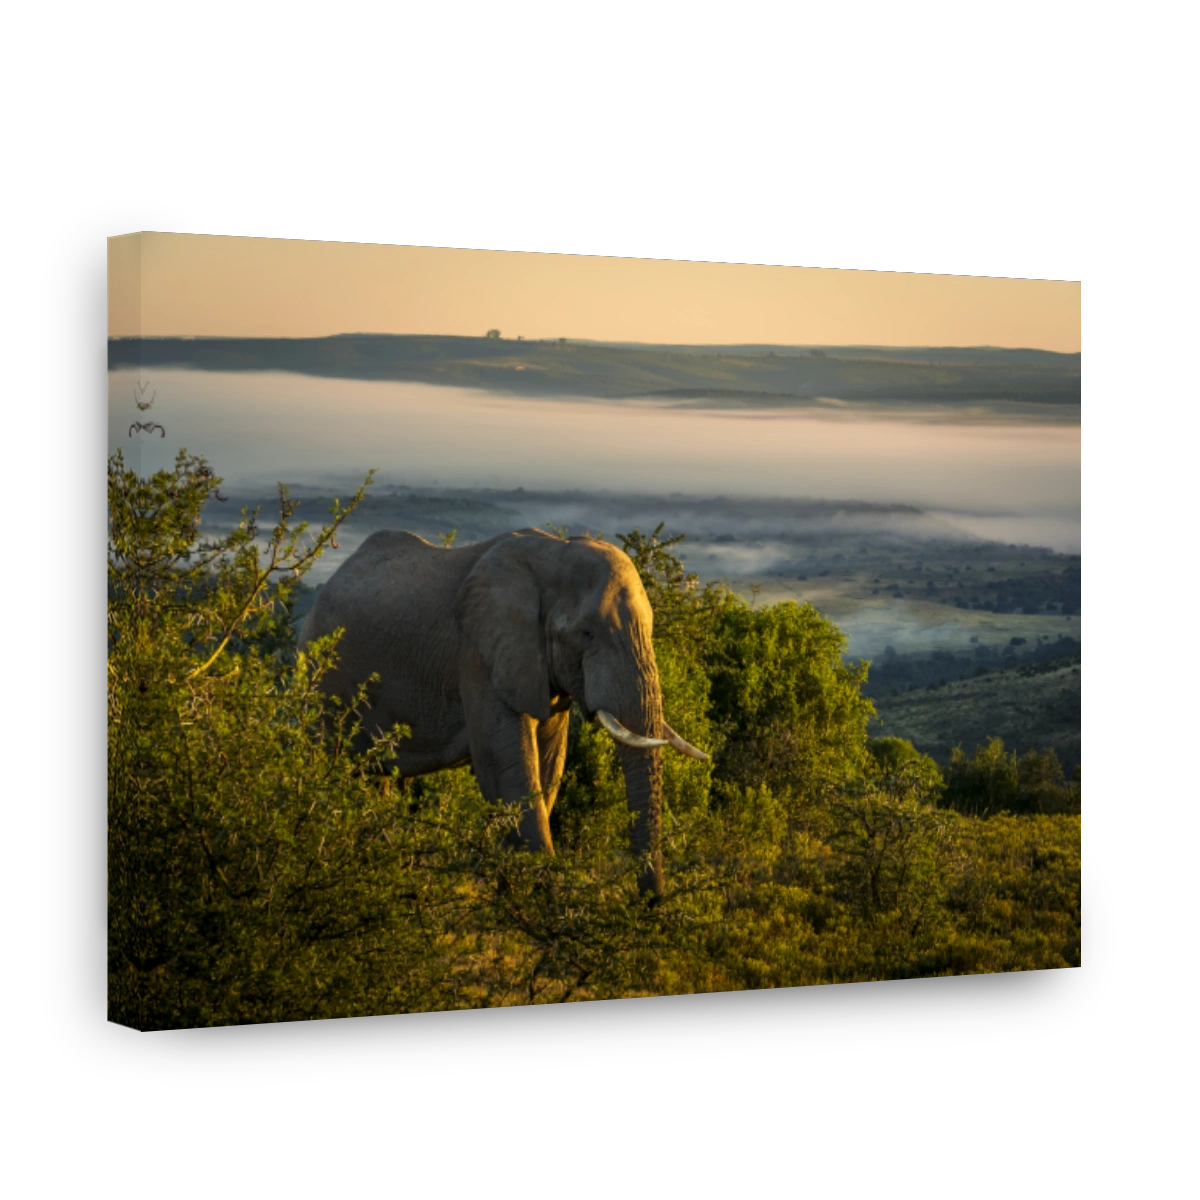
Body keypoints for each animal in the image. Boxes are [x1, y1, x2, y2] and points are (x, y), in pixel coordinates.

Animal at [296, 526, 708, 899]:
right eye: (587, 634)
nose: (648, 905)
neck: (554, 552)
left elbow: (548, 767)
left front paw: (512, 896)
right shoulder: (479, 658)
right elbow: (509, 769)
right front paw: (544, 910)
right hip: (322, 680)